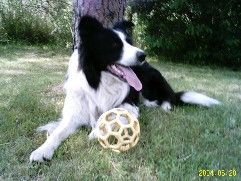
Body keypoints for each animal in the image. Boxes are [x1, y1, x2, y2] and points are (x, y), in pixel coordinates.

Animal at [29, 15, 218, 162]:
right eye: (114, 45)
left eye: (129, 42)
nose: (142, 55)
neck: (100, 81)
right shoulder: (76, 111)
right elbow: (58, 132)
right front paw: (42, 150)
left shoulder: (130, 105)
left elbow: (115, 116)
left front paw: (97, 132)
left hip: (151, 82)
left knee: (168, 97)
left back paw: (165, 106)